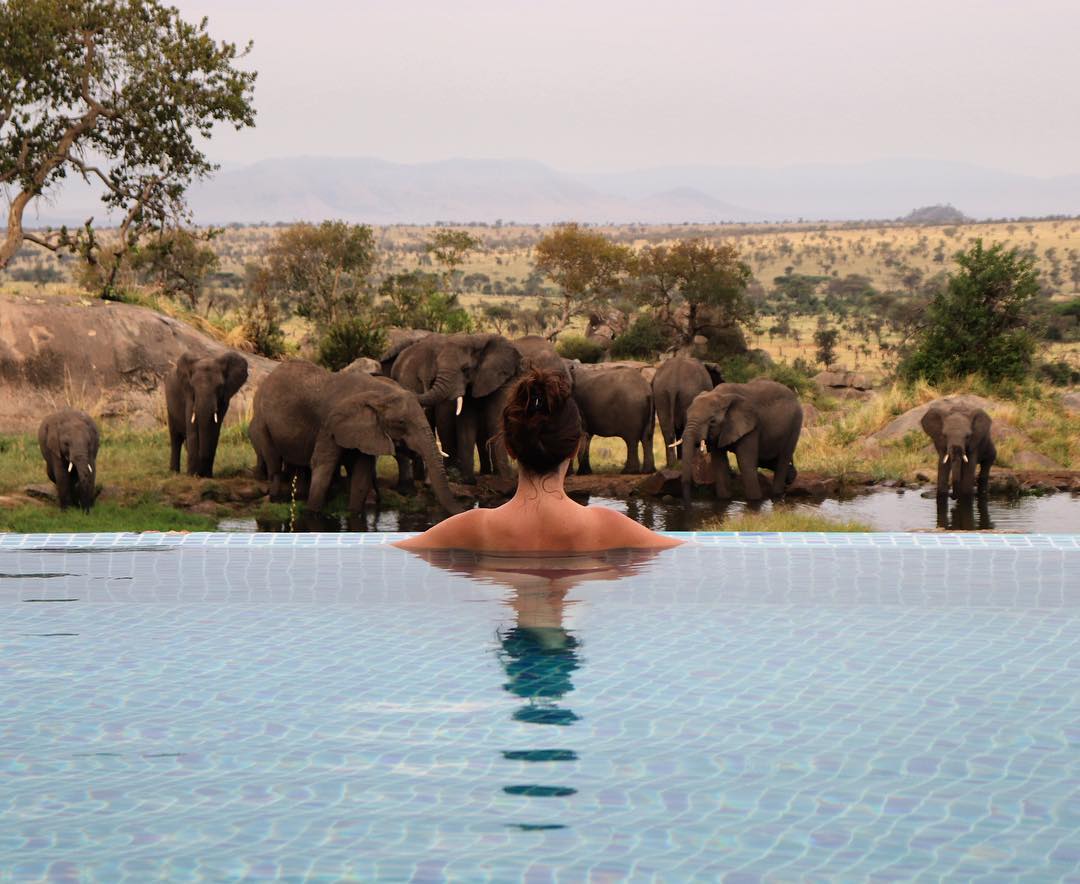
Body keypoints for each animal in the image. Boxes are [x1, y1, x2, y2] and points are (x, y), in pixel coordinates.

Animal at [249, 356, 460, 515]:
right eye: (401, 423)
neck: (378, 391)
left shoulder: (367, 430)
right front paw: (312, 511)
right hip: (261, 422)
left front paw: (354, 512)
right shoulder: (330, 423)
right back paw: (275, 499)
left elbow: (361, 474)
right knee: (274, 463)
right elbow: (323, 467)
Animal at [395, 334, 524, 483]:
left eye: (465, 369)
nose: (422, 380)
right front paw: (467, 480)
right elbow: (466, 422)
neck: (474, 339)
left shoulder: (499, 379)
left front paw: (505, 479)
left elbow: (494, 419)